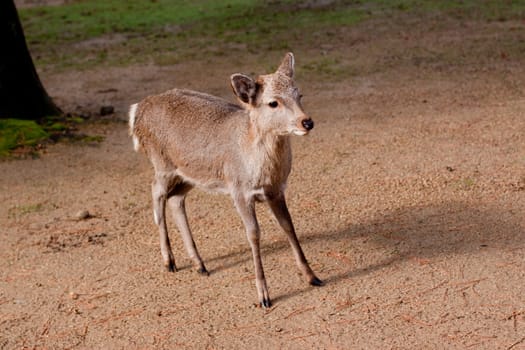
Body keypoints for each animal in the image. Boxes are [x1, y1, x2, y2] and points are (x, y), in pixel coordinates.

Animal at [129, 53, 322, 308]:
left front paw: (313, 277)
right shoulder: (239, 191)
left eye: (299, 95)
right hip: (161, 164)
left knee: (175, 199)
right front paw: (264, 296)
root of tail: (137, 111)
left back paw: (199, 264)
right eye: (273, 103)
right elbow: (253, 234)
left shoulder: (276, 191)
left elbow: (288, 225)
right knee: (156, 193)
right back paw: (169, 262)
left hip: (190, 174)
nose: (307, 122)